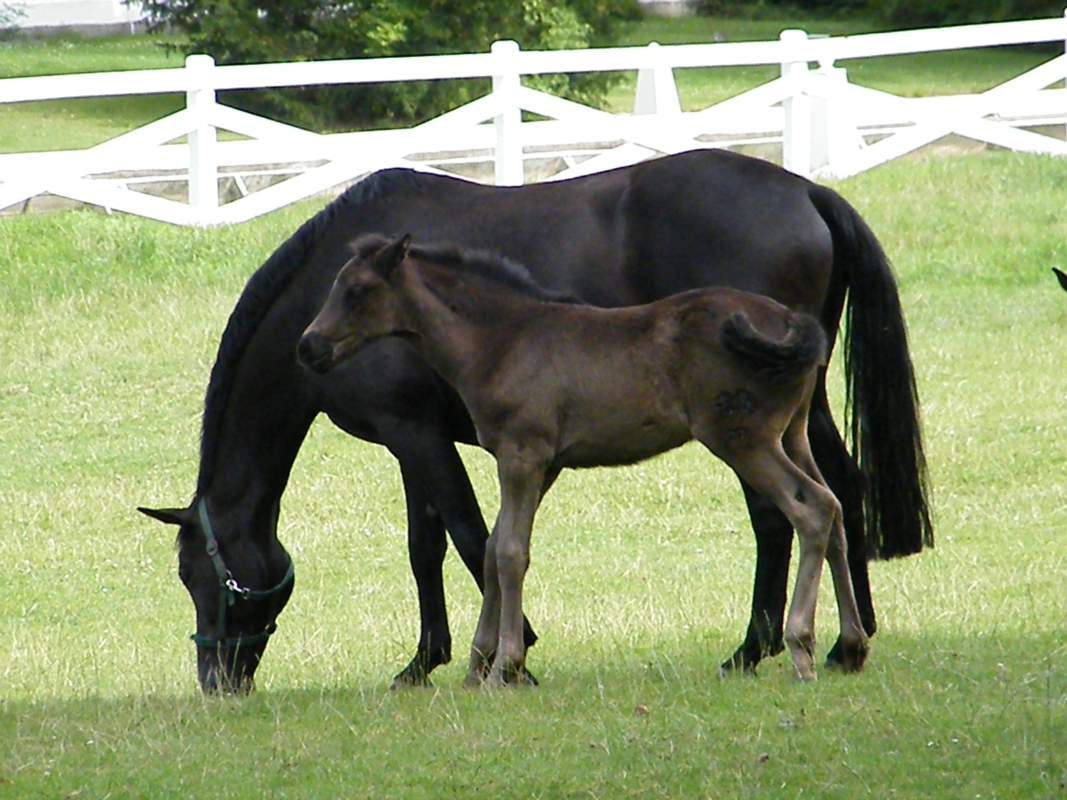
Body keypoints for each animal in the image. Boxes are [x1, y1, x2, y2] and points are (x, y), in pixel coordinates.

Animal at [139, 151, 926, 695]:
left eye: (196, 575)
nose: (217, 682)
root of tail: (808, 191)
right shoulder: (414, 439)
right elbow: (428, 546)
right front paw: (426, 661)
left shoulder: (417, 433)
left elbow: (470, 538)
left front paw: (509, 655)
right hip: (797, 412)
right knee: (837, 492)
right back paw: (845, 640)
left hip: (746, 429)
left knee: (783, 512)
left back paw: (761, 646)